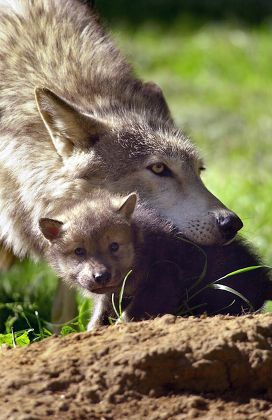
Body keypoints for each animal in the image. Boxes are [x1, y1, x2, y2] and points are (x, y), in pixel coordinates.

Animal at [39, 192, 270, 330]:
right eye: (79, 251)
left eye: (114, 246)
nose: (101, 276)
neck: (142, 248)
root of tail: (263, 277)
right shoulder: (109, 296)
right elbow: (99, 316)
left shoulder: (160, 281)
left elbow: (132, 313)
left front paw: (120, 327)